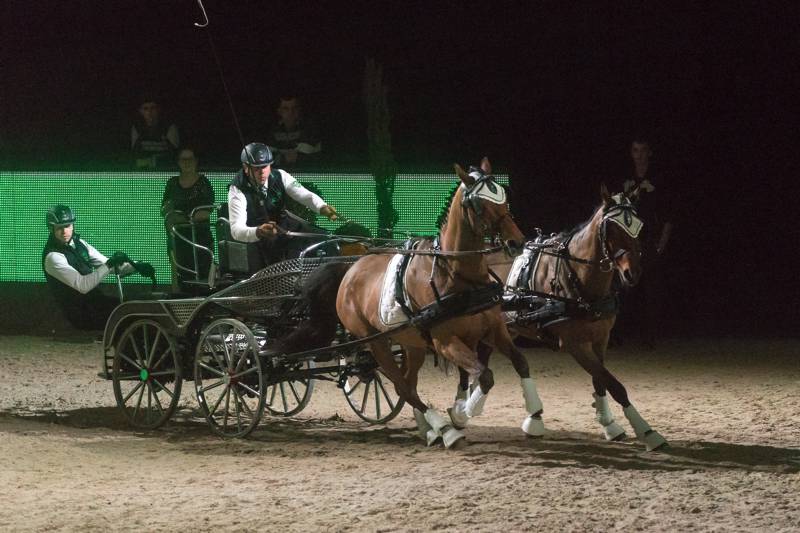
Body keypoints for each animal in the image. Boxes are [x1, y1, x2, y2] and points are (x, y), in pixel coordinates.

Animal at [456, 186, 668, 448]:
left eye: (638, 226)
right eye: (612, 228)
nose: (633, 272)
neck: (578, 277)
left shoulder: (601, 339)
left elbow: (600, 380)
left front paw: (608, 423)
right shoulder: (575, 344)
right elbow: (613, 384)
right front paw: (647, 431)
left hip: (504, 328)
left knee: (485, 359)